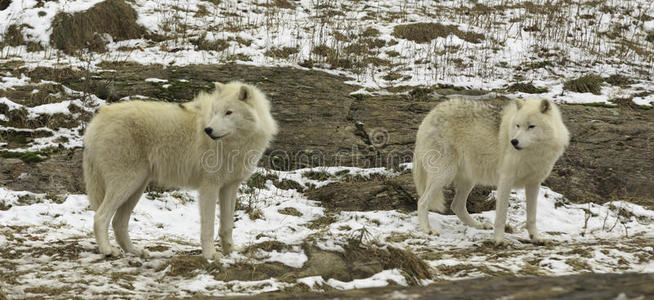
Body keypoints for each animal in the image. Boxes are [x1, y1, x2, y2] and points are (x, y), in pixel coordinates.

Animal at [83, 81, 278, 258]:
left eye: (228, 112)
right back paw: (108, 250)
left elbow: (227, 226)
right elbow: (208, 227)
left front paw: (231, 251)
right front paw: (210, 255)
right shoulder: (209, 187)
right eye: (215, 112)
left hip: (136, 187)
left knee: (118, 223)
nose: (208, 130)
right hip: (126, 184)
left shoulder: (230, 186)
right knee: (100, 217)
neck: (235, 145)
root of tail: (95, 121)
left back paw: (135, 251)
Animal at [416, 98, 568, 244]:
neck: (533, 153)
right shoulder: (505, 180)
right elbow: (501, 215)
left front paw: (536, 238)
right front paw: (499, 240)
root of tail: (432, 113)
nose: (514, 141)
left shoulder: (534, 184)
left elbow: (532, 217)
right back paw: (427, 230)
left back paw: (478, 225)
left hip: (469, 180)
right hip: (444, 175)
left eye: (531, 126)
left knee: (456, 206)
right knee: (422, 202)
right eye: (518, 125)